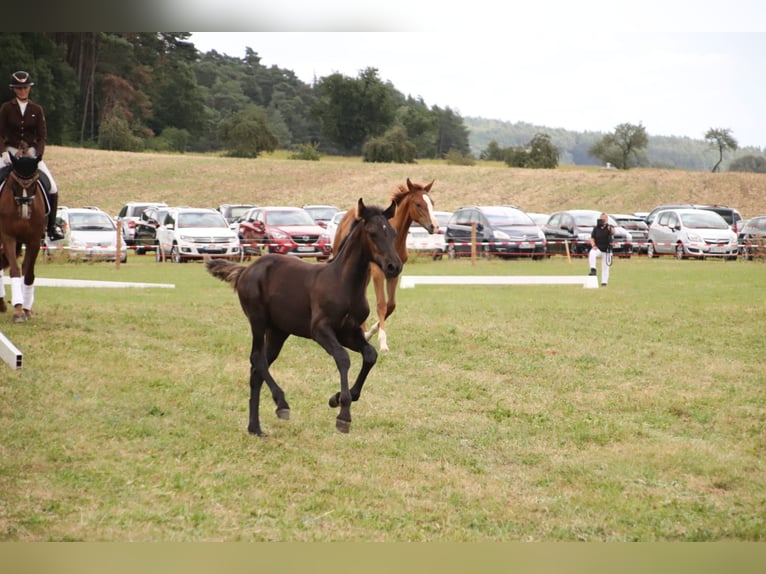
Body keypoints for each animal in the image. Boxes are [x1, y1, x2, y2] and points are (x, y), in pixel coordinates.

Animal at [0, 154, 47, 324]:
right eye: (15, 183)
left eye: (34, 183)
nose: (25, 213)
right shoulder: (8, 237)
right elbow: (15, 270)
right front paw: (18, 311)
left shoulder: (34, 240)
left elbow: (28, 272)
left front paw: (25, 309)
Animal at [207, 199, 404, 436]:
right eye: (372, 233)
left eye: (392, 233)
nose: (394, 266)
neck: (343, 283)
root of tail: (245, 270)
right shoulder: (320, 330)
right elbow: (343, 358)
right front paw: (343, 413)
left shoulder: (350, 332)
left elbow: (370, 355)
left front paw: (337, 398)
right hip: (258, 320)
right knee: (257, 359)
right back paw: (281, 404)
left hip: (278, 332)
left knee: (257, 369)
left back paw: (255, 427)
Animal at [334, 178, 440, 354]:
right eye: (418, 204)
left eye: (432, 202)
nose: (435, 227)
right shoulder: (378, 273)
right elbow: (381, 305)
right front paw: (383, 343)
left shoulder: (394, 273)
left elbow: (391, 306)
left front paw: (369, 333)